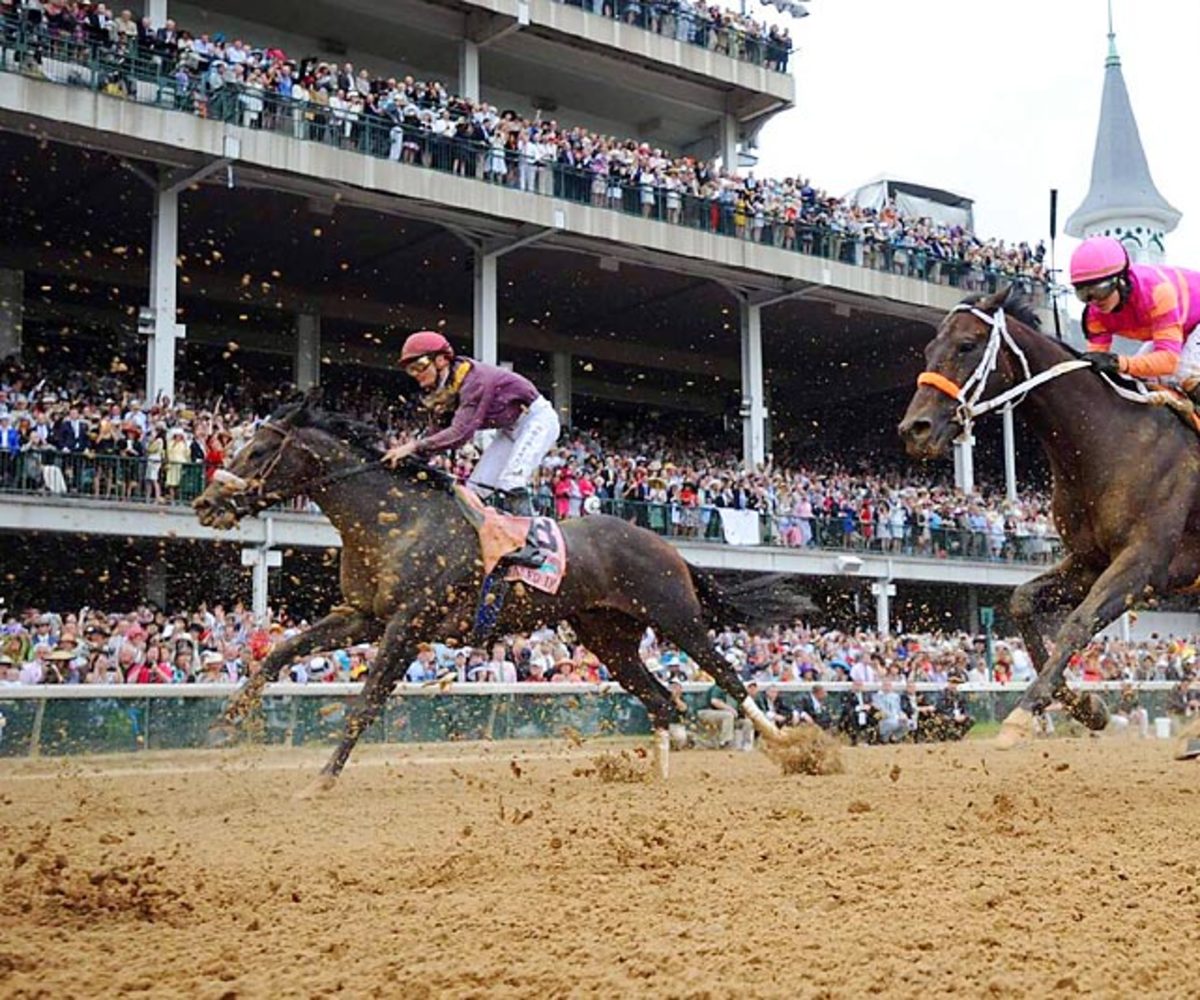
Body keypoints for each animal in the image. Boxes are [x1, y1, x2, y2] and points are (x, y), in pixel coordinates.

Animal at [192, 400, 782, 787]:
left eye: (259, 451)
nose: (205, 503)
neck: (395, 521)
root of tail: (667, 545)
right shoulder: (364, 615)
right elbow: (284, 650)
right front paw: (224, 726)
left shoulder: (408, 624)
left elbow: (367, 700)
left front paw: (322, 778)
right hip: (608, 637)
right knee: (661, 698)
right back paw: (660, 772)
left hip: (675, 616)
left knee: (728, 676)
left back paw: (785, 744)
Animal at [902, 283, 1200, 758]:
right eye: (929, 348)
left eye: (966, 345)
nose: (915, 429)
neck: (1108, 441)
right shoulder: (1089, 561)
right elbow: (1022, 601)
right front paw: (1086, 707)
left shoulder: (1144, 563)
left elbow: (1077, 623)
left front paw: (1021, 717)